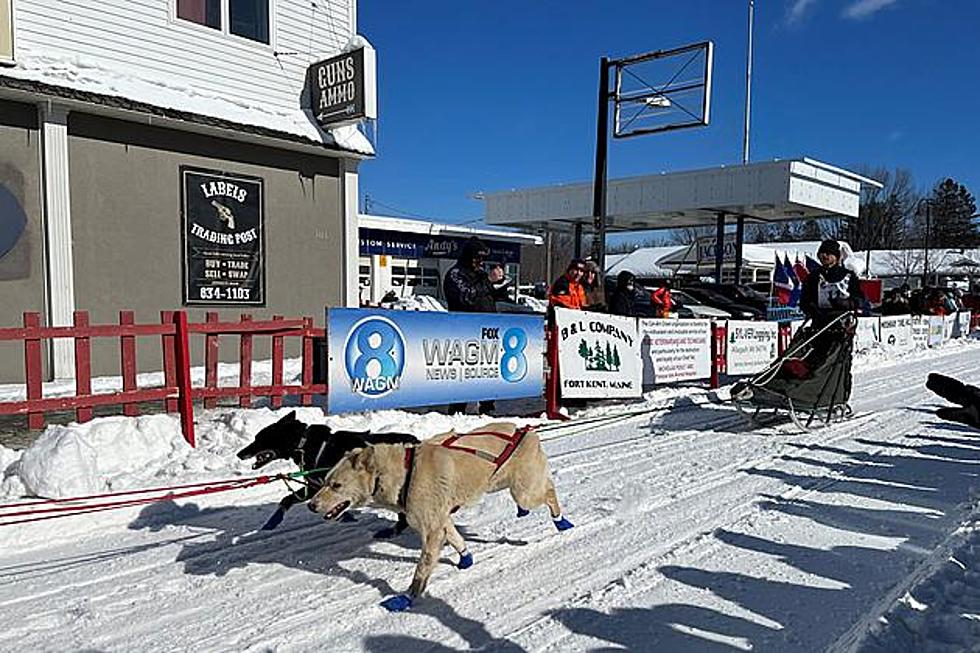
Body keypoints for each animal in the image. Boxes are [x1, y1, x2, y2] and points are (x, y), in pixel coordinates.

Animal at [240, 412, 422, 536]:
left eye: (260, 438)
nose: (239, 454)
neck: (307, 445)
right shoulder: (314, 486)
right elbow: (287, 499)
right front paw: (271, 523)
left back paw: (392, 530)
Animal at [308, 420, 576, 608]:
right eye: (325, 481)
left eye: (336, 486)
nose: (310, 505)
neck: (405, 472)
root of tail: (525, 430)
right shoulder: (441, 520)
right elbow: (456, 538)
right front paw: (465, 558)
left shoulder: (431, 531)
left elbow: (421, 571)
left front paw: (407, 598)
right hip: (504, 485)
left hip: (524, 492)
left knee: (549, 492)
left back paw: (561, 521)